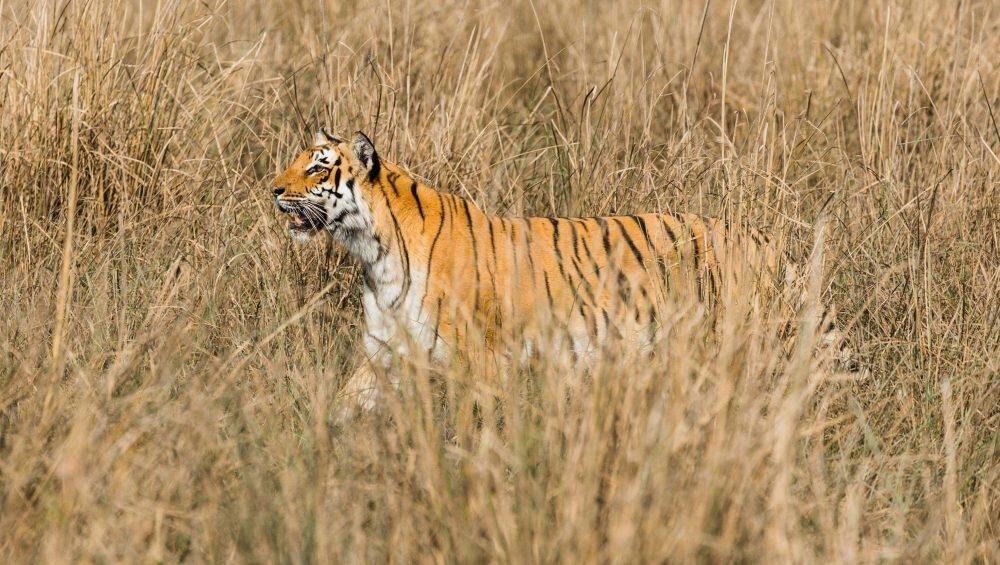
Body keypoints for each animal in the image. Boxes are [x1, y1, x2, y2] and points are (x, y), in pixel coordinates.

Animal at [268, 130, 852, 412]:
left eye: (316, 166)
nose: (272, 188)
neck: (372, 251)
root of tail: (768, 243)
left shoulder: (481, 356)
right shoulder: (385, 349)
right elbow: (347, 403)